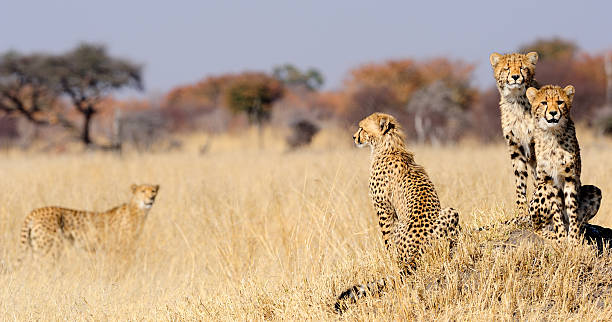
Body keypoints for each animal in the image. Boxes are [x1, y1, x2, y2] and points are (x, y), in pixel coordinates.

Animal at [20, 182, 160, 260]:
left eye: (153, 191)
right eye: (143, 191)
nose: (151, 198)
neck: (138, 211)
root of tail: (36, 210)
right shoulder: (118, 248)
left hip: (36, 246)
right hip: (48, 247)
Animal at [334, 112, 460, 312]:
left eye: (362, 128)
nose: (354, 137)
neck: (388, 145)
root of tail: (417, 250)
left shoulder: (383, 208)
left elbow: (387, 241)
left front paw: (389, 260)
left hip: (403, 224)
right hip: (451, 211)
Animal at [490, 52, 536, 219]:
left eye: (522, 68)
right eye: (507, 68)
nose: (515, 77)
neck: (517, 101)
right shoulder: (515, 146)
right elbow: (520, 180)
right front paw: (521, 211)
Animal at [524, 85, 604, 242]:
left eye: (560, 102)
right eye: (544, 103)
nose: (553, 113)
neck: (553, 134)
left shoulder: (570, 178)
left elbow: (572, 210)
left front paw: (573, 239)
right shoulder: (549, 180)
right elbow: (556, 212)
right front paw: (561, 238)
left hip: (595, 191)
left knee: (579, 220)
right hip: (541, 189)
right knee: (537, 227)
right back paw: (550, 233)